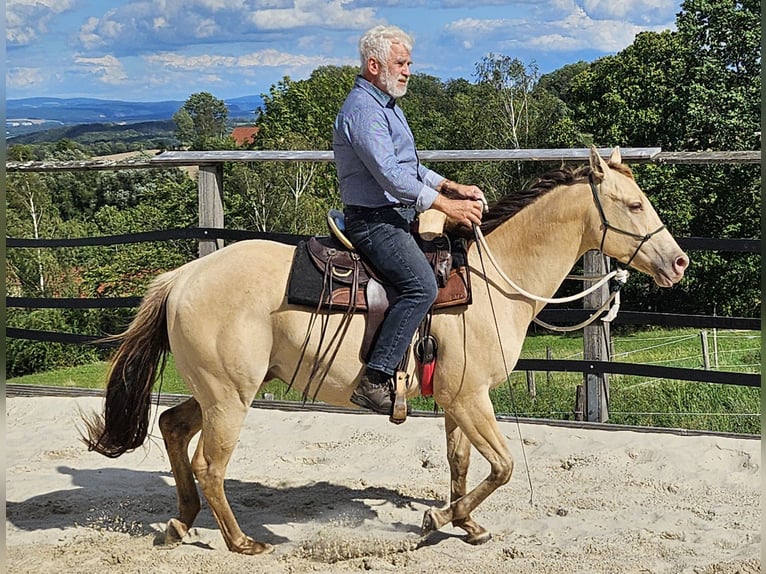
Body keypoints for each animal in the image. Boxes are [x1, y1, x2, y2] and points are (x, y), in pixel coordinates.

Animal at [83, 147, 689, 555]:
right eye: (634, 204)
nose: (678, 262)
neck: (491, 280)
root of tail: (183, 277)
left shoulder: (457, 399)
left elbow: (463, 462)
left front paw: (465, 524)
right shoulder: (470, 398)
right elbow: (503, 465)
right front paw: (438, 521)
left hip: (219, 391)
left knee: (172, 427)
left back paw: (180, 522)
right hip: (230, 397)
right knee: (210, 465)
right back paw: (241, 542)